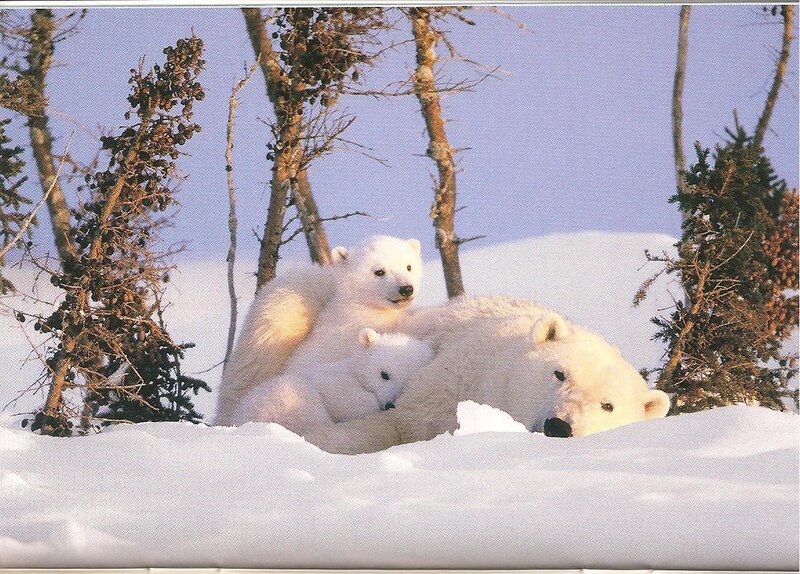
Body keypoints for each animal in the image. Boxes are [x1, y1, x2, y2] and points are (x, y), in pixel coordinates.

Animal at [228, 328, 435, 434]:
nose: (389, 404)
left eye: (408, 381)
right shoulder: (336, 385)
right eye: (384, 374)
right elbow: (351, 403)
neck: (353, 373)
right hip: (288, 400)